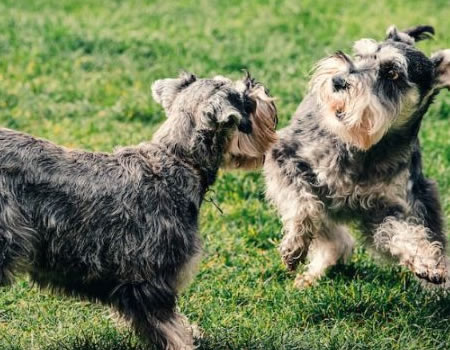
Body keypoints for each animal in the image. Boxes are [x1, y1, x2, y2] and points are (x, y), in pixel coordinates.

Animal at [264, 25, 450, 290]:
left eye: (392, 72)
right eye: (361, 55)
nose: (338, 81)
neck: (365, 148)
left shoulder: (390, 208)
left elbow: (402, 231)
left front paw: (427, 261)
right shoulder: (285, 157)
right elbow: (303, 205)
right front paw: (294, 246)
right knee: (332, 236)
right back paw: (310, 275)